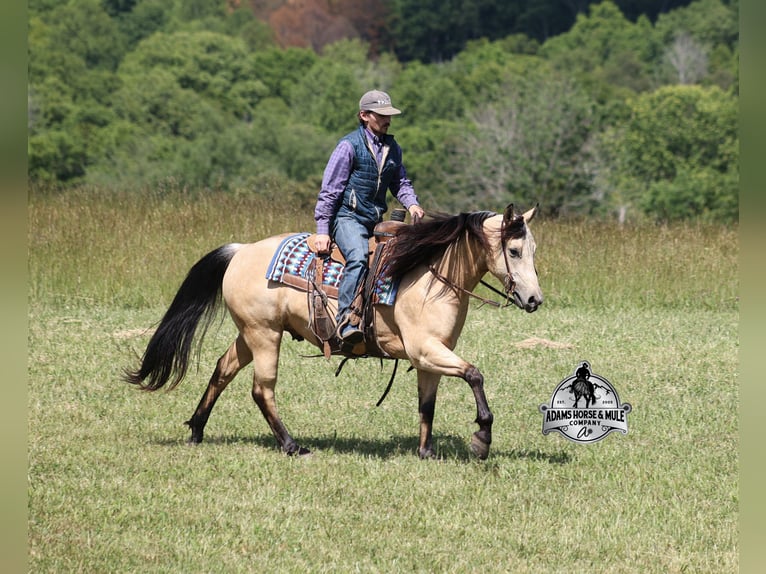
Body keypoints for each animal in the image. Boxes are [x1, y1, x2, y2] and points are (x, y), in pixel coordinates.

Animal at [124, 204, 542, 459]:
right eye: (514, 251)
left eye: (534, 250)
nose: (534, 299)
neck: (429, 274)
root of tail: (240, 251)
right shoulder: (425, 349)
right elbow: (474, 374)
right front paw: (482, 438)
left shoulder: (430, 355)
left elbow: (428, 404)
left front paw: (426, 452)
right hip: (264, 335)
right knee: (262, 389)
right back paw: (292, 445)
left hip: (251, 333)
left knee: (223, 369)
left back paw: (196, 429)